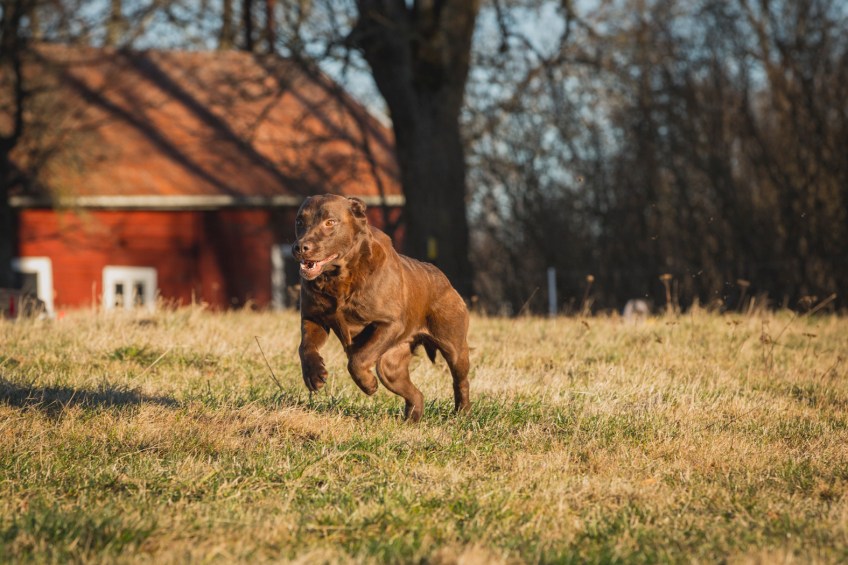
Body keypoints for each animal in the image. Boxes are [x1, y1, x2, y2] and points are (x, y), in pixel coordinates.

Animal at [293, 194, 470, 422]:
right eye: (299, 221)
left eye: (330, 222)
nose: (300, 247)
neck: (338, 278)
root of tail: (445, 280)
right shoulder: (313, 317)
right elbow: (305, 347)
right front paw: (314, 376)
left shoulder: (390, 323)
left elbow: (358, 360)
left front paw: (368, 385)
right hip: (390, 365)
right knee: (415, 393)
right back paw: (411, 420)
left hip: (453, 345)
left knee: (460, 380)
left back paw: (462, 414)